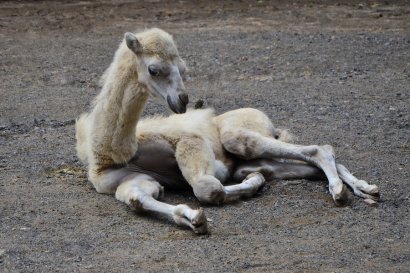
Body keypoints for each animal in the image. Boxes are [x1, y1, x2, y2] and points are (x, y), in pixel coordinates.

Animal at [76, 28, 378, 235]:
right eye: (153, 69)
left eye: (183, 68)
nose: (182, 100)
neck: (109, 155)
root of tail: (268, 121)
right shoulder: (129, 180)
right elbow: (138, 199)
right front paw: (196, 220)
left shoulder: (190, 142)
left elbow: (208, 188)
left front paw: (249, 188)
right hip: (254, 158)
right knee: (304, 165)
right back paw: (364, 190)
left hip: (239, 137)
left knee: (318, 149)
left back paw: (343, 192)